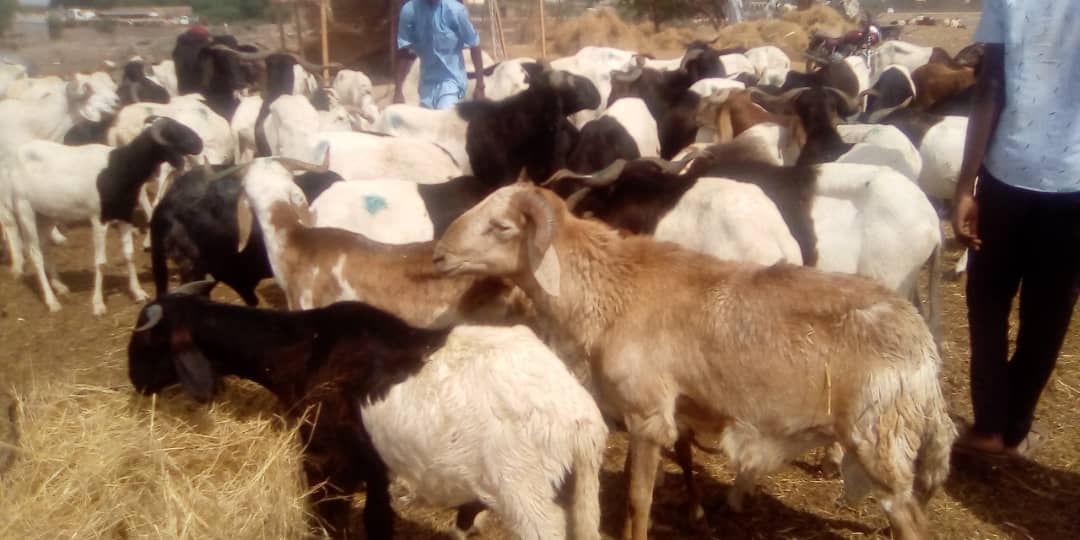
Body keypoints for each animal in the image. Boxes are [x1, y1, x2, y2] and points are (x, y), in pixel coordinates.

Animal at [4, 117, 203, 314]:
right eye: (172, 131)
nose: (199, 143)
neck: (118, 167)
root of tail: (21, 153)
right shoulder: (98, 219)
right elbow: (100, 261)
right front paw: (98, 303)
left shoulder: (125, 216)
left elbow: (129, 254)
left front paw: (138, 292)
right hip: (24, 209)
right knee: (34, 252)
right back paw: (52, 301)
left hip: (47, 214)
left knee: (45, 246)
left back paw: (59, 286)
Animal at [128, 283, 607, 540]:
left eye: (149, 341)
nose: (134, 381)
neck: (305, 348)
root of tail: (580, 421)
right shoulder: (373, 465)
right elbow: (378, 520)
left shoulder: (325, 461)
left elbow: (330, 522)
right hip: (576, 489)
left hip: (526, 492)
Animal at [433, 183, 956, 540]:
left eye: (501, 227)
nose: (437, 256)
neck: (608, 291)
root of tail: (923, 348)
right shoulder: (672, 410)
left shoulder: (646, 416)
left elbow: (637, 500)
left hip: (880, 442)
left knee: (912, 522)